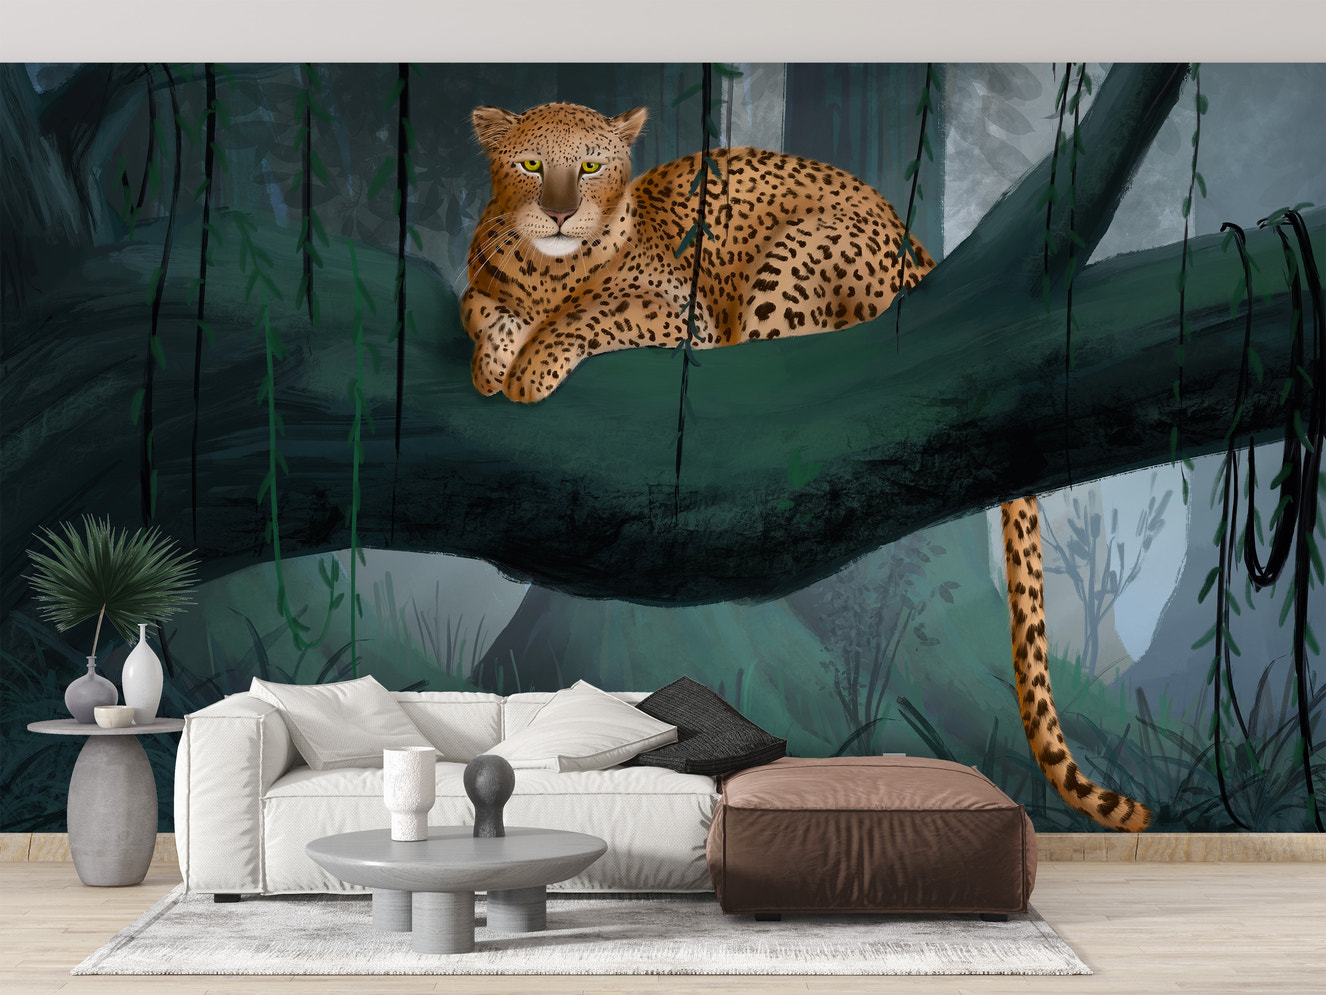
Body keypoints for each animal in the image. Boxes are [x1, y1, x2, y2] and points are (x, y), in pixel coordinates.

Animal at [462, 101, 1151, 832]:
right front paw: (495, 357)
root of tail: (918, 249)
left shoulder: (681, 317)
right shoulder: (485, 285)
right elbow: (482, 309)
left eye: (590, 166)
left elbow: (594, 313)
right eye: (531, 164)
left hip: (793, 264)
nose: (561, 214)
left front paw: (529, 365)